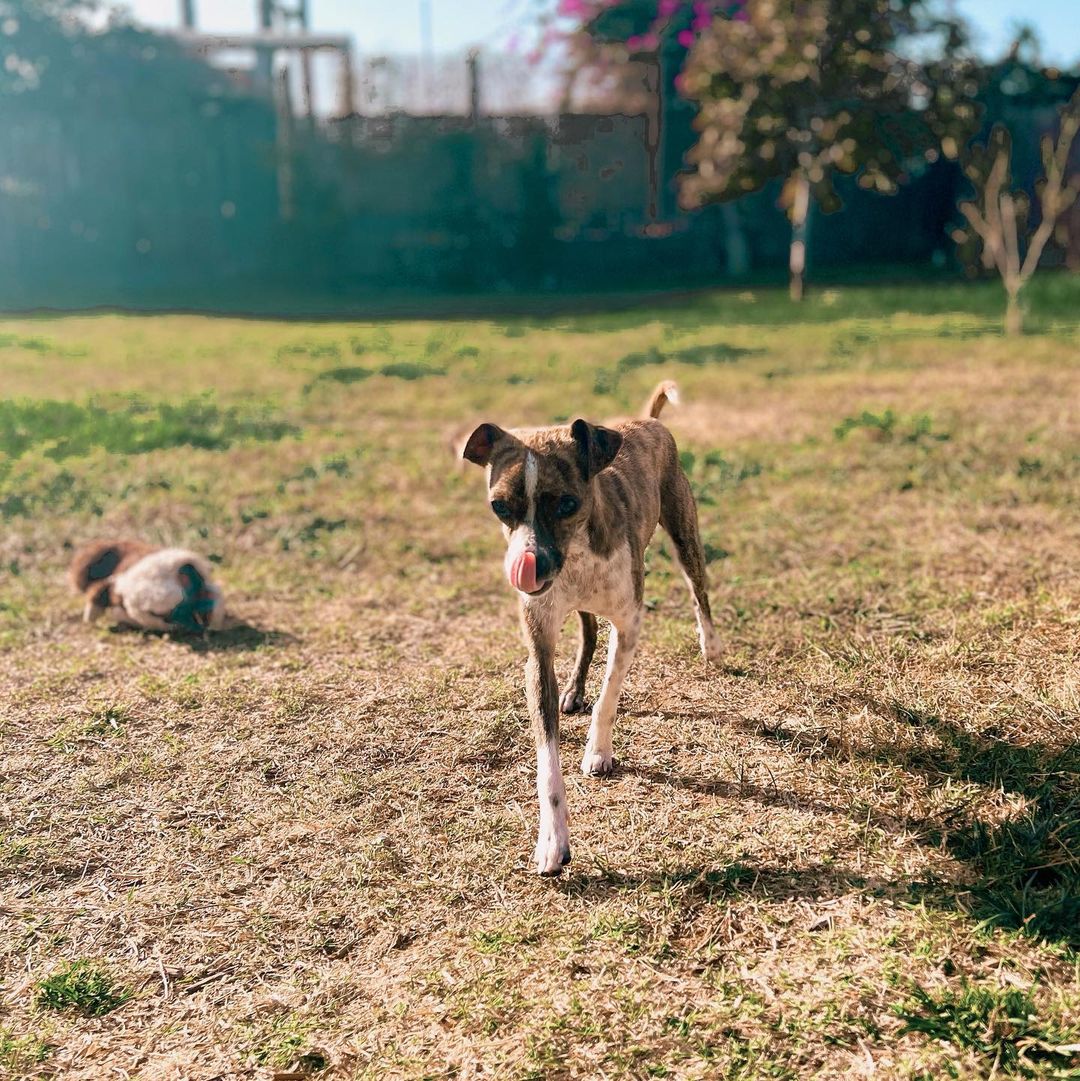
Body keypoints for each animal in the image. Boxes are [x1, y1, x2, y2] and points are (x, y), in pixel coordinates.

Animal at [462, 380, 722, 877]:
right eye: (500, 507)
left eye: (567, 503)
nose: (530, 565)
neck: (578, 557)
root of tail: (648, 420)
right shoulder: (538, 651)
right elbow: (547, 760)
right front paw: (552, 841)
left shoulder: (630, 622)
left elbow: (610, 694)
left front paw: (598, 751)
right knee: (587, 633)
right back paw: (574, 689)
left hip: (684, 530)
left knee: (698, 588)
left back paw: (712, 645)